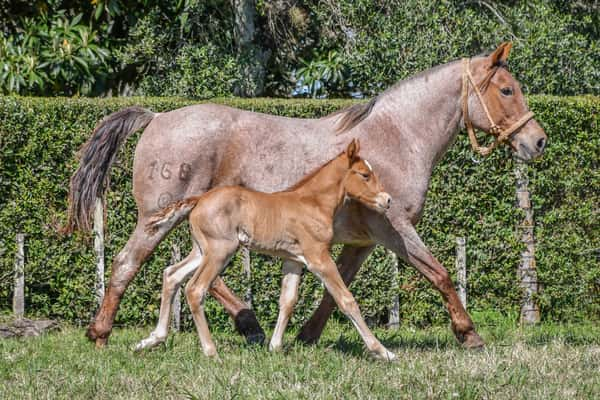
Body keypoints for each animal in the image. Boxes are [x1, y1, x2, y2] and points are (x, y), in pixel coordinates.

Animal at [135, 140, 394, 360]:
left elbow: (288, 300)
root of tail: (199, 200)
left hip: (201, 251)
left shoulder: (294, 260)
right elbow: (346, 299)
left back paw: (152, 340)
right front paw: (383, 352)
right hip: (220, 251)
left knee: (172, 274)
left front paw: (275, 347)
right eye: (365, 175)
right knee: (195, 289)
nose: (387, 200)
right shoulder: (318, 257)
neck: (313, 204)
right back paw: (211, 352)